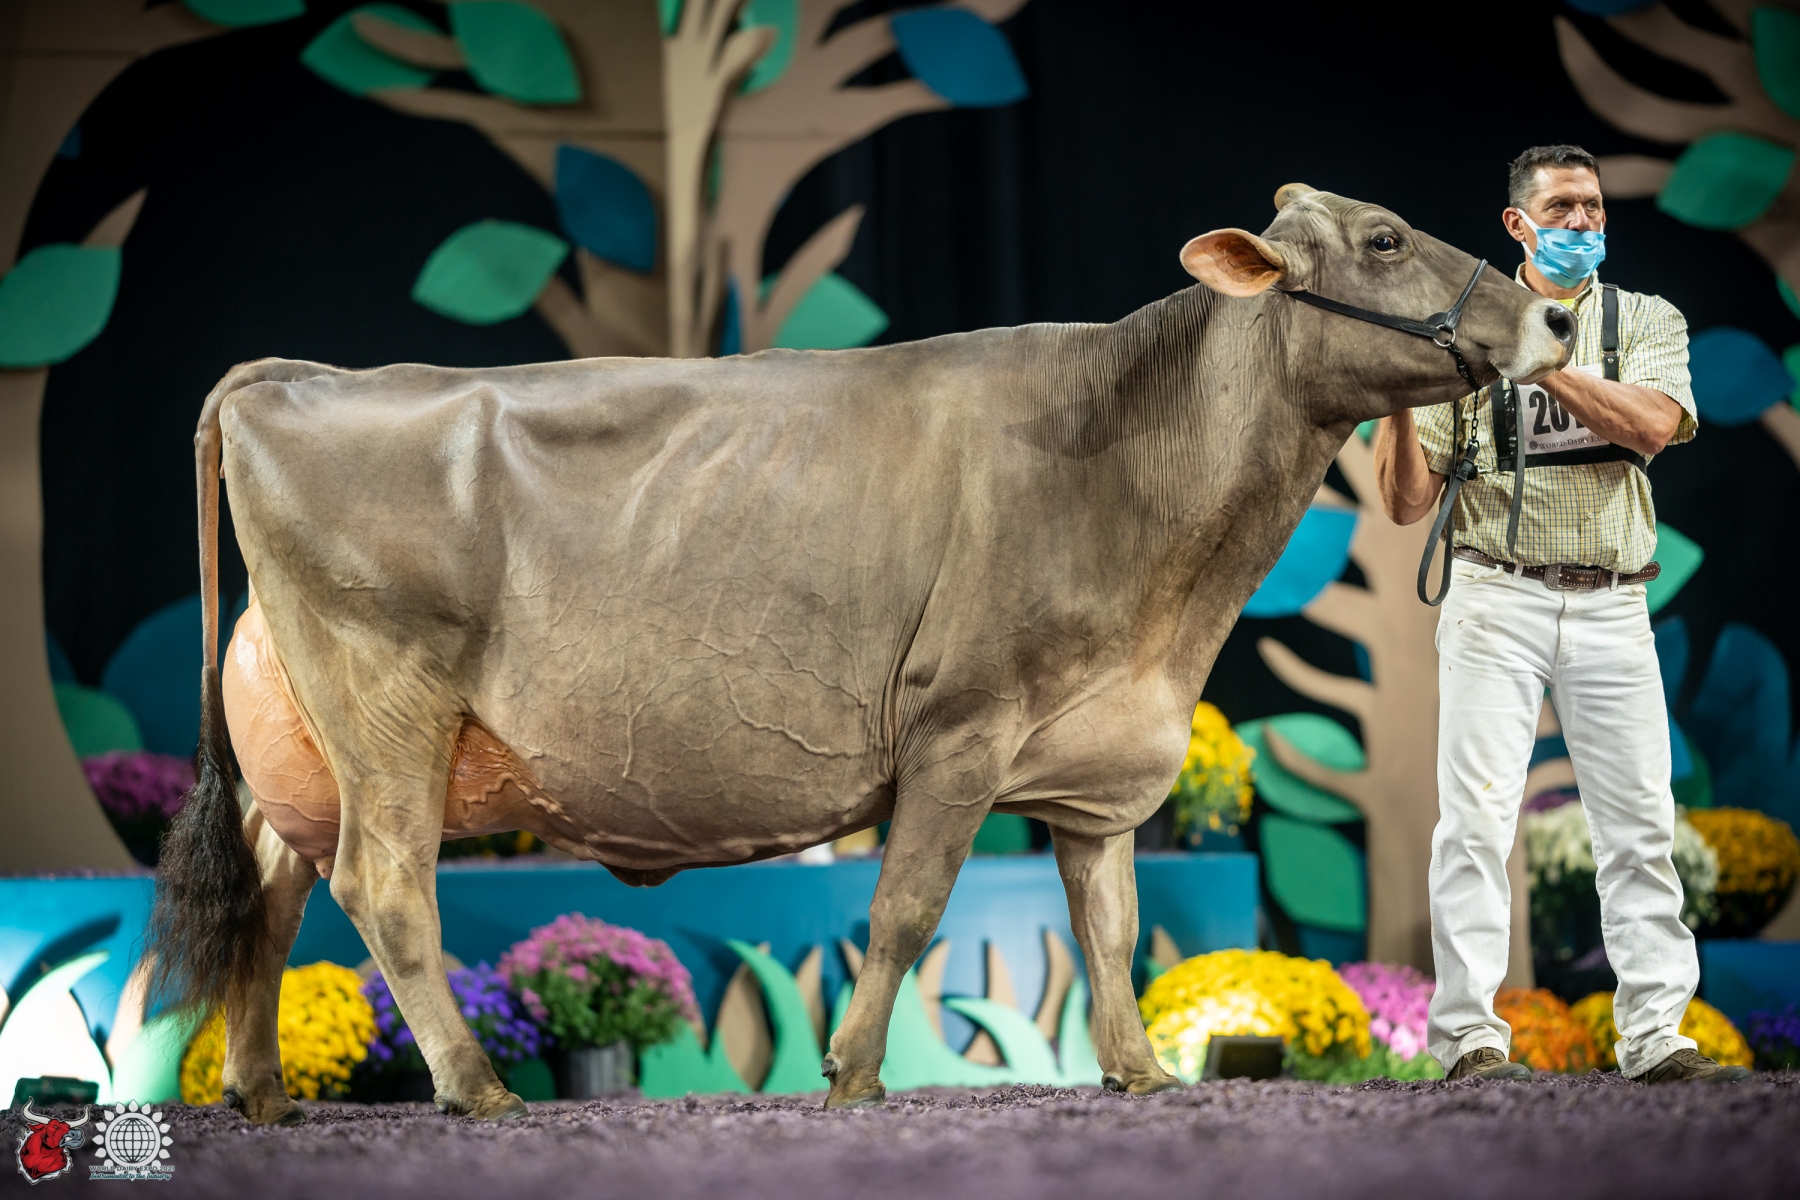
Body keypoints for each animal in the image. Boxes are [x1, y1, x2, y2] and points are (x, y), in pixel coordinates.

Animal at [148, 184, 1573, 1124]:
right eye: (1385, 238)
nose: (1554, 322)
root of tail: (300, 376)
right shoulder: (961, 726)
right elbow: (904, 911)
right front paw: (853, 1075)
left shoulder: (1099, 764)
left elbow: (1110, 928)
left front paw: (1139, 1072)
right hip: (387, 704)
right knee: (385, 892)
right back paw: (478, 1088)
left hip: (304, 746)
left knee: (269, 899)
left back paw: (264, 1095)